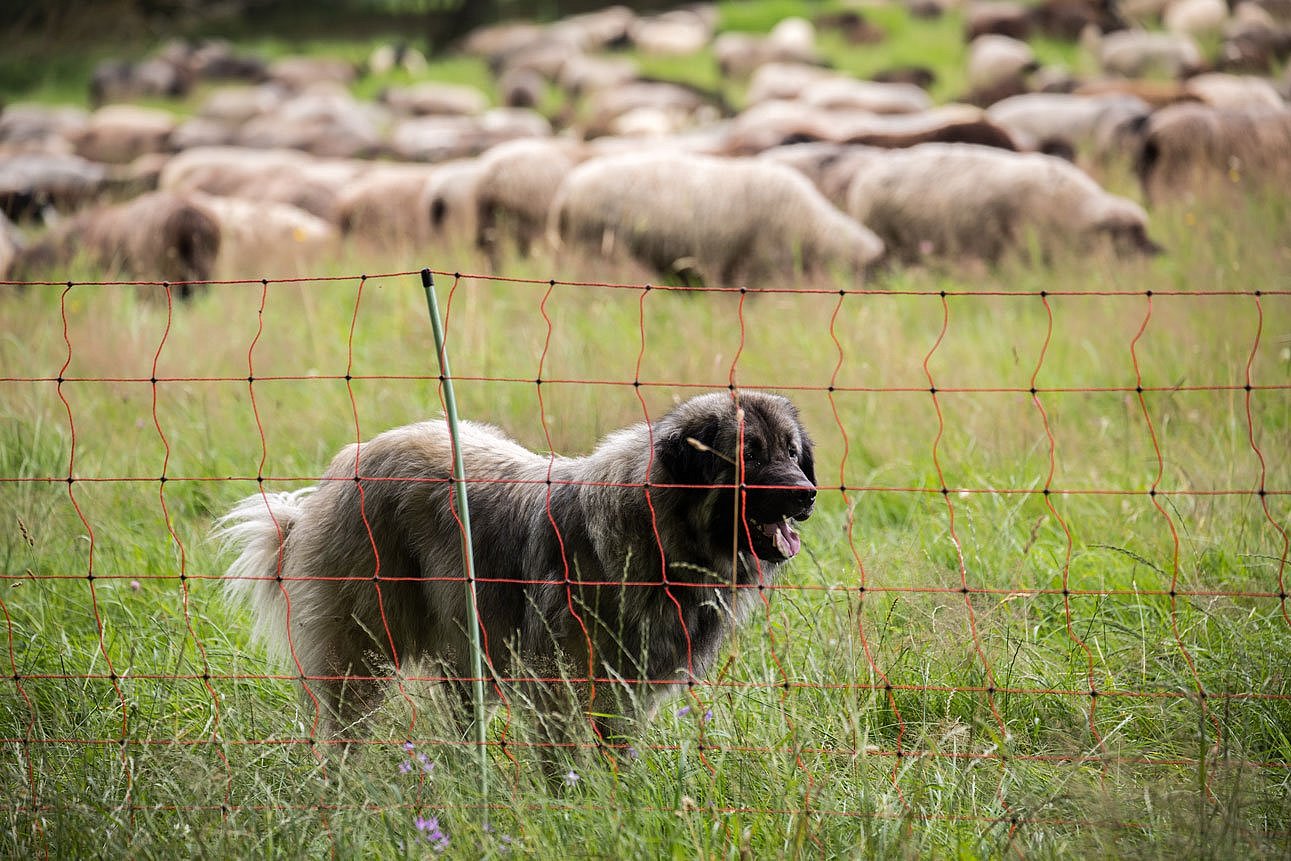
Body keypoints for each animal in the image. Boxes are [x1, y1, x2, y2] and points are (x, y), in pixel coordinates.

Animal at [215, 389, 810, 748]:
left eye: (790, 451)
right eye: (750, 455)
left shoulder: (622, 694)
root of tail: (346, 465)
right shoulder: (557, 687)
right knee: (341, 731)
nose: (808, 494)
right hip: (362, 648)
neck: (657, 533)